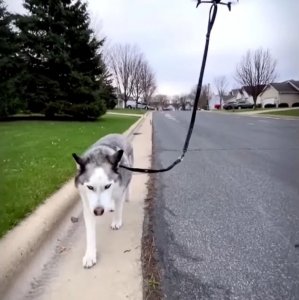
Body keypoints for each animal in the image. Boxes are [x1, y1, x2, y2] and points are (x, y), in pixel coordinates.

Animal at [71, 134, 134, 268]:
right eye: (90, 187)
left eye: (107, 186)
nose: (98, 211)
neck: (98, 157)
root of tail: (118, 134)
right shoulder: (88, 205)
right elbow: (90, 232)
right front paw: (90, 255)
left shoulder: (118, 191)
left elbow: (119, 208)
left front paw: (116, 221)